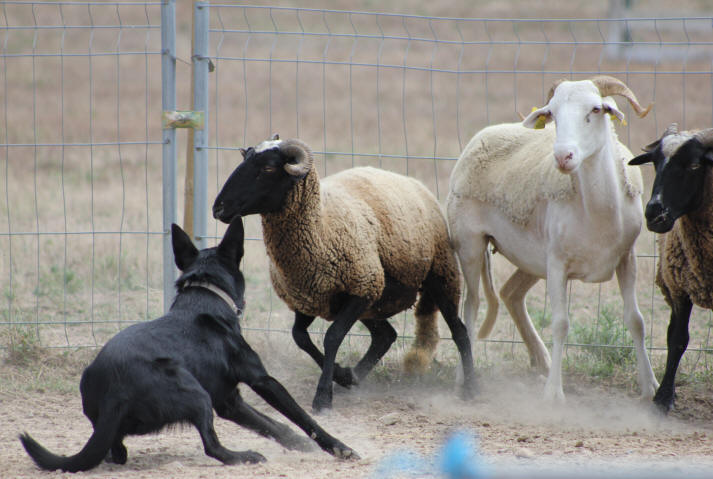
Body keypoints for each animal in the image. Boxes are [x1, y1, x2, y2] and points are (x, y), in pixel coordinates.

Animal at [19, 219, 358, 474]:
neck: (205, 294)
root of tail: (114, 391)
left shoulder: (229, 401)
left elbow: (272, 425)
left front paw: (301, 446)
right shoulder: (262, 380)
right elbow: (303, 418)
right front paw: (339, 447)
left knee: (117, 452)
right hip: (195, 393)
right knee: (213, 447)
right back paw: (245, 456)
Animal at [214, 136, 476, 412]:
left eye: (268, 168)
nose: (218, 208)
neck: (321, 228)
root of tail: (411, 181)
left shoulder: (362, 288)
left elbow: (332, 337)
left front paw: (322, 397)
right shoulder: (308, 299)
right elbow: (300, 337)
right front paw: (340, 374)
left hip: (440, 275)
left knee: (459, 332)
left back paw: (470, 388)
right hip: (375, 301)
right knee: (385, 335)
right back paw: (353, 377)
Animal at [448, 76, 660, 404]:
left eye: (596, 109)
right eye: (553, 115)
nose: (563, 156)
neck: (598, 213)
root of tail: (484, 133)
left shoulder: (627, 258)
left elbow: (636, 320)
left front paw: (650, 387)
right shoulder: (558, 264)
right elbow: (560, 324)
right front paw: (553, 393)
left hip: (532, 258)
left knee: (510, 293)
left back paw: (541, 359)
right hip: (470, 244)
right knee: (470, 307)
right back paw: (465, 379)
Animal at [628, 123, 712, 412]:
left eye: (696, 165)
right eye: (655, 162)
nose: (654, 214)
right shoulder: (680, 288)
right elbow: (677, 339)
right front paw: (663, 398)